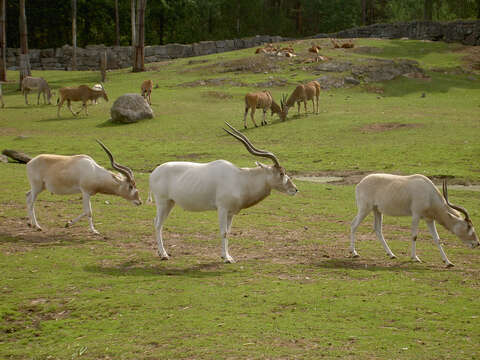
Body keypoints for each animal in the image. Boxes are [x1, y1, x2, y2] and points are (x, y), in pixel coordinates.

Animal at [148, 122, 298, 262]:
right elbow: (223, 232)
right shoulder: (222, 209)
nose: (295, 189)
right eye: (281, 173)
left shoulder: (231, 212)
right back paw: (164, 255)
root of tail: (154, 173)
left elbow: (229, 232)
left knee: (158, 223)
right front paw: (226, 258)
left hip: (170, 203)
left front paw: (227, 255)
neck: (240, 178)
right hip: (162, 202)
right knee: (158, 224)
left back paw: (161, 253)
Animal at [350, 174, 478, 268]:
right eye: (468, 226)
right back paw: (354, 253)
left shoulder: (429, 219)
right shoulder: (416, 215)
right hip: (365, 208)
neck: (429, 193)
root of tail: (360, 184)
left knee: (378, 230)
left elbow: (437, 239)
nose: (477, 243)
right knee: (354, 225)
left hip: (377, 210)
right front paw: (415, 258)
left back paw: (391, 254)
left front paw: (448, 262)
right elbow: (414, 236)